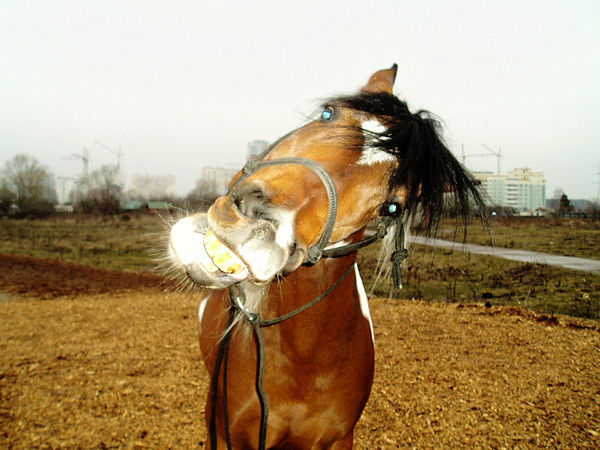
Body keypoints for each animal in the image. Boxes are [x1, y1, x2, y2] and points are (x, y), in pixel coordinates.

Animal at [166, 65, 486, 448]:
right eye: (328, 113)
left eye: (393, 206)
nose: (257, 224)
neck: (302, 360)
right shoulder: (226, 432)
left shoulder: (337, 439)